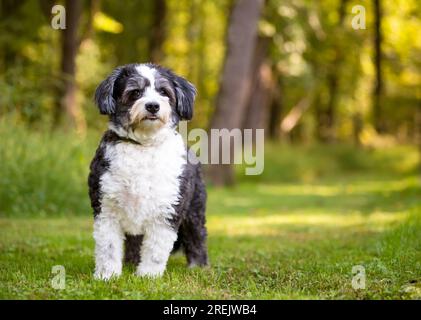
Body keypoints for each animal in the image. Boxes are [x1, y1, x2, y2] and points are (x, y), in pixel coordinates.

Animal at [87, 63, 208, 280]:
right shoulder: (106, 209)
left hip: (194, 210)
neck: (143, 146)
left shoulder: (167, 210)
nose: (153, 106)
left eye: (164, 92)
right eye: (135, 92)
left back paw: (198, 266)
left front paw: (148, 276)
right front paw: (107, 275)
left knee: (197, 236)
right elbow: (108, 247)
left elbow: (155, 250)